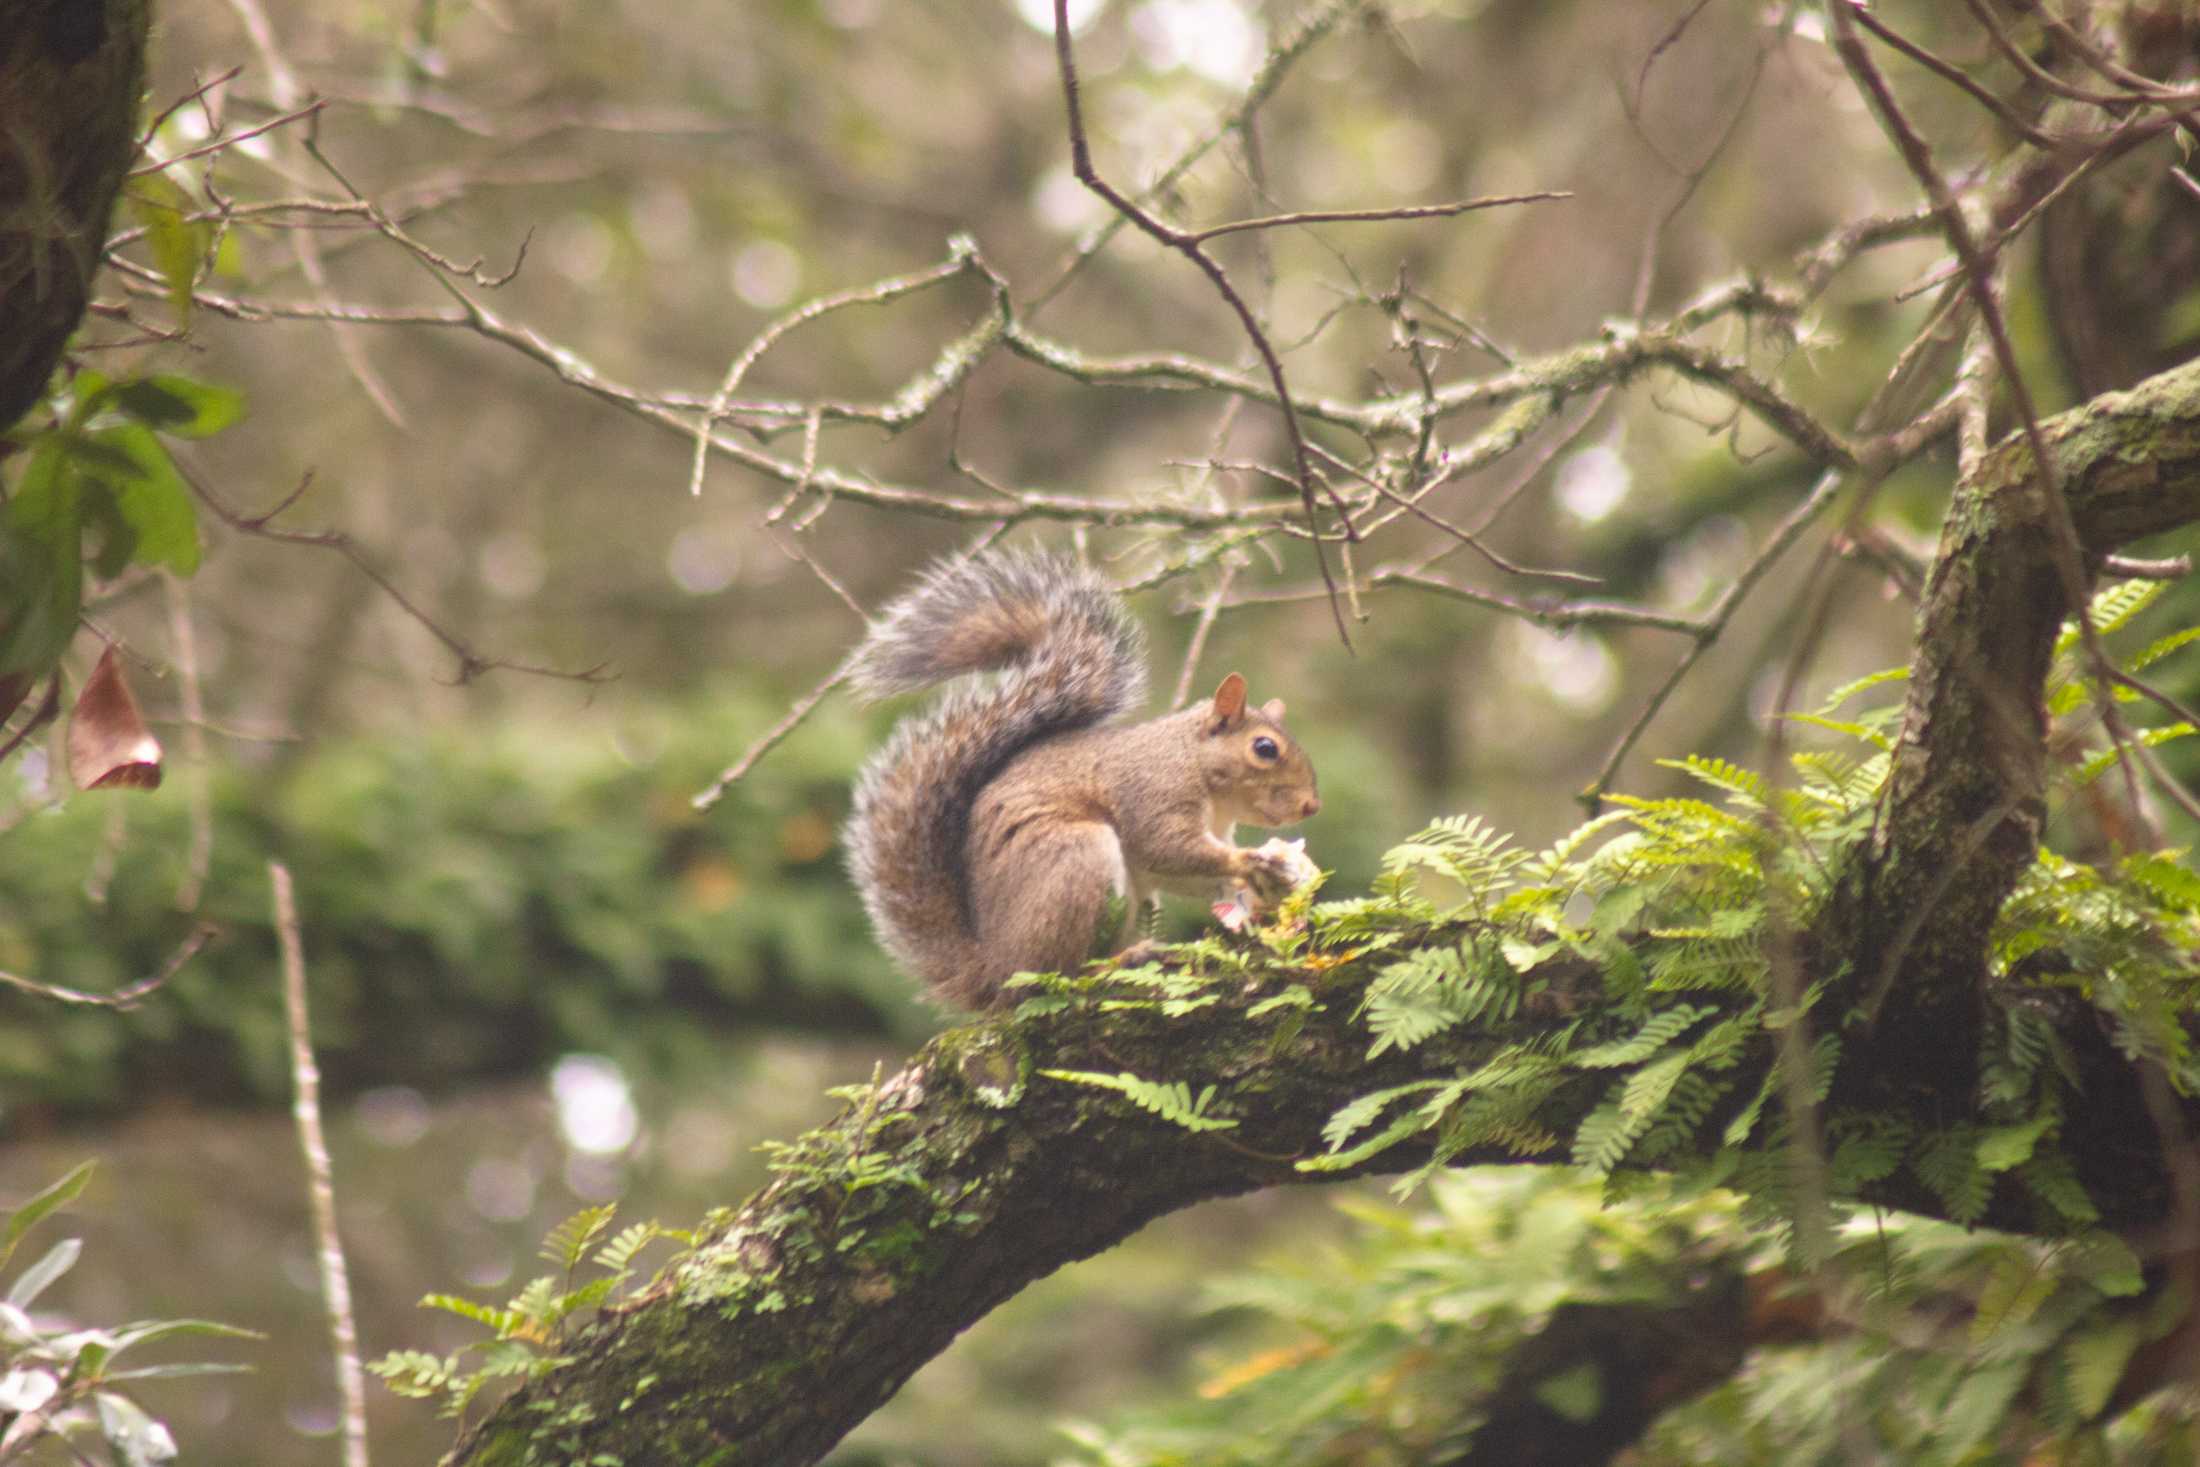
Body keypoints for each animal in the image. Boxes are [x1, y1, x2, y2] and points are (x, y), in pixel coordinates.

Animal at [840, 549, 1320, 1011]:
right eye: (1265, 748)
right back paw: (1119, 960)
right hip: (1076, 859)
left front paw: (1263, 888)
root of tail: (994, 969)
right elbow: (1169, 848)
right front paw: (1250, 862)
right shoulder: (1153, 793)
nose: (1311, 806)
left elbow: (1187, 875)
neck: (1195, 765)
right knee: (1057, 974)